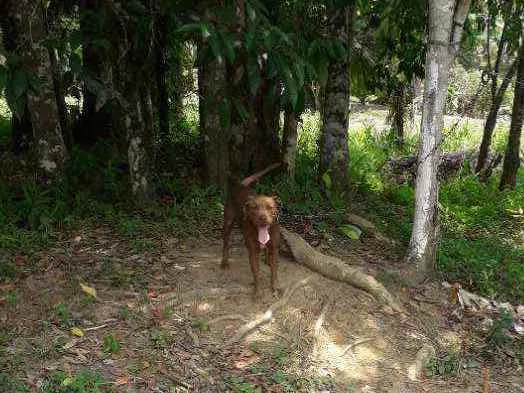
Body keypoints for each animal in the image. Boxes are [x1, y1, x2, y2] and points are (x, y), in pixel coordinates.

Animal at [221, 163, 282, 300]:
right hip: (228, 222)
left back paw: (267, 260)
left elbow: (274, 272)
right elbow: (256, 273)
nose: (262, 217)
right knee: (226, 243)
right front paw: (257, 293)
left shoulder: (275, 249)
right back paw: (224, 262)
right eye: (254, 208)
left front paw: (275, 288)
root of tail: (240, 185)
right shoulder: (253, 252)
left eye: (270, 207)